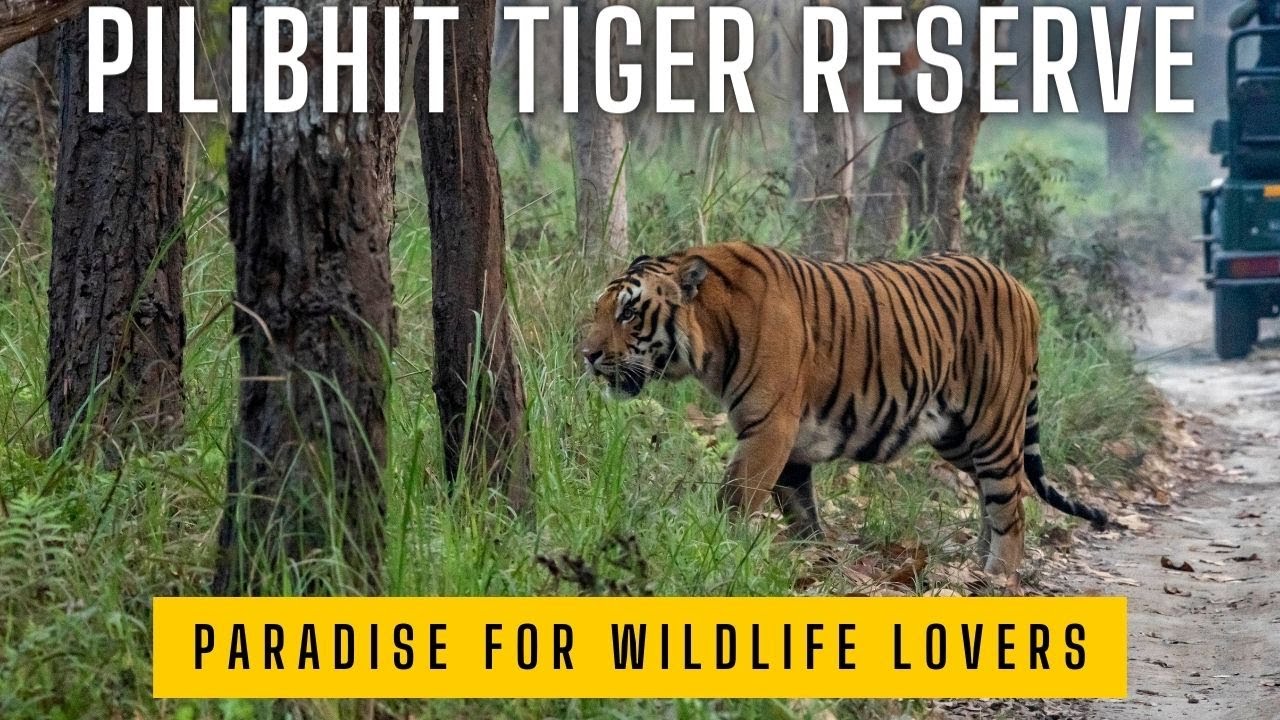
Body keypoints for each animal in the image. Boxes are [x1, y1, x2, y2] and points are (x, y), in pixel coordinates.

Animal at [579, 241, 1109, 579]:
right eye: (599, 309)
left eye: (629, 312)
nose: (585, 354)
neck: (709, 335)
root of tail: (1021, 288)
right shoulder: (790, 445)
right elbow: (800, 512)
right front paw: (814, 560)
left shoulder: (769, 428)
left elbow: (735, 498)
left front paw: (716, 545)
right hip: (957, 436)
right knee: (994, 495)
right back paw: (978, 564)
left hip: (993, 427)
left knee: (1011, 507)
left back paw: (998, 578)